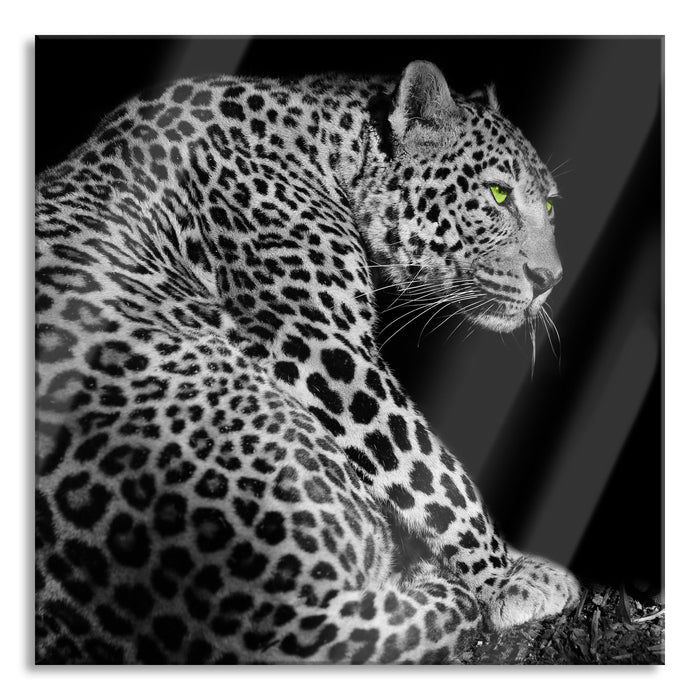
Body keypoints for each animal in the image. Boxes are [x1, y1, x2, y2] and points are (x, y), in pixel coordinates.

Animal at [35, 59, 579, 664]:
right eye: (499, 194)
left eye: (549, 205)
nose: (550, 280)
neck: (328, 145)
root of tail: (261, 618)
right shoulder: (321, 345)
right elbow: (430, 469)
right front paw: (506, 579)